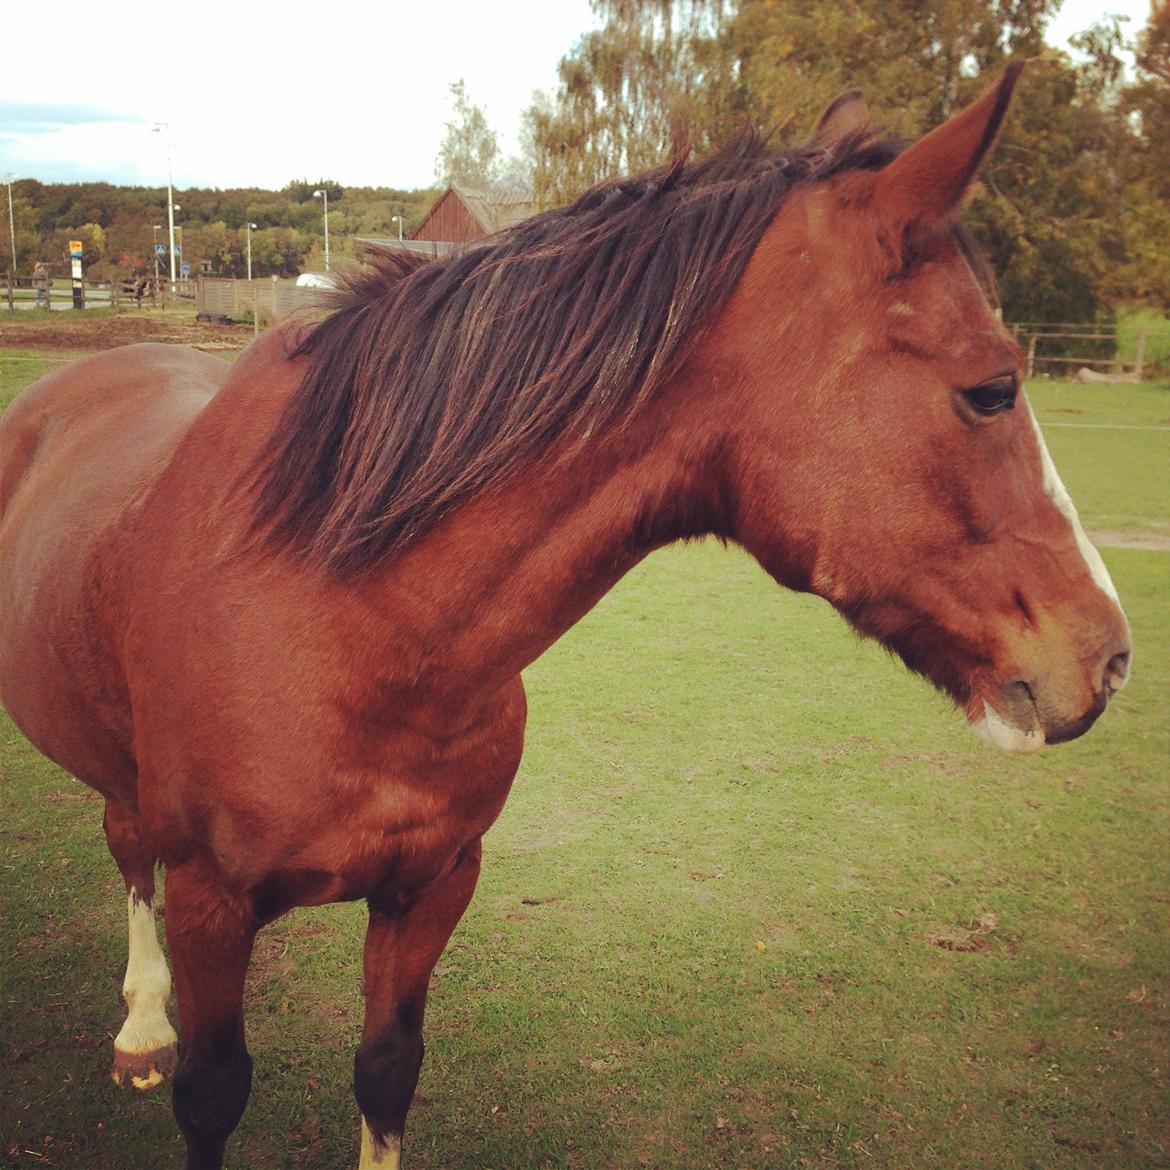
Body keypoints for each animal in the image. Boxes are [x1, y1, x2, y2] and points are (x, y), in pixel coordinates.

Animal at [0, 66, 1132, 1170]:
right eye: (993, 389)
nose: (1111, 657)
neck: (346, 621)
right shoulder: (212, 904)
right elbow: (212, 1092)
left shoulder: (433, 887)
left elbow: (385, 1072)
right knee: (126, 851)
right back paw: (143, 1025)